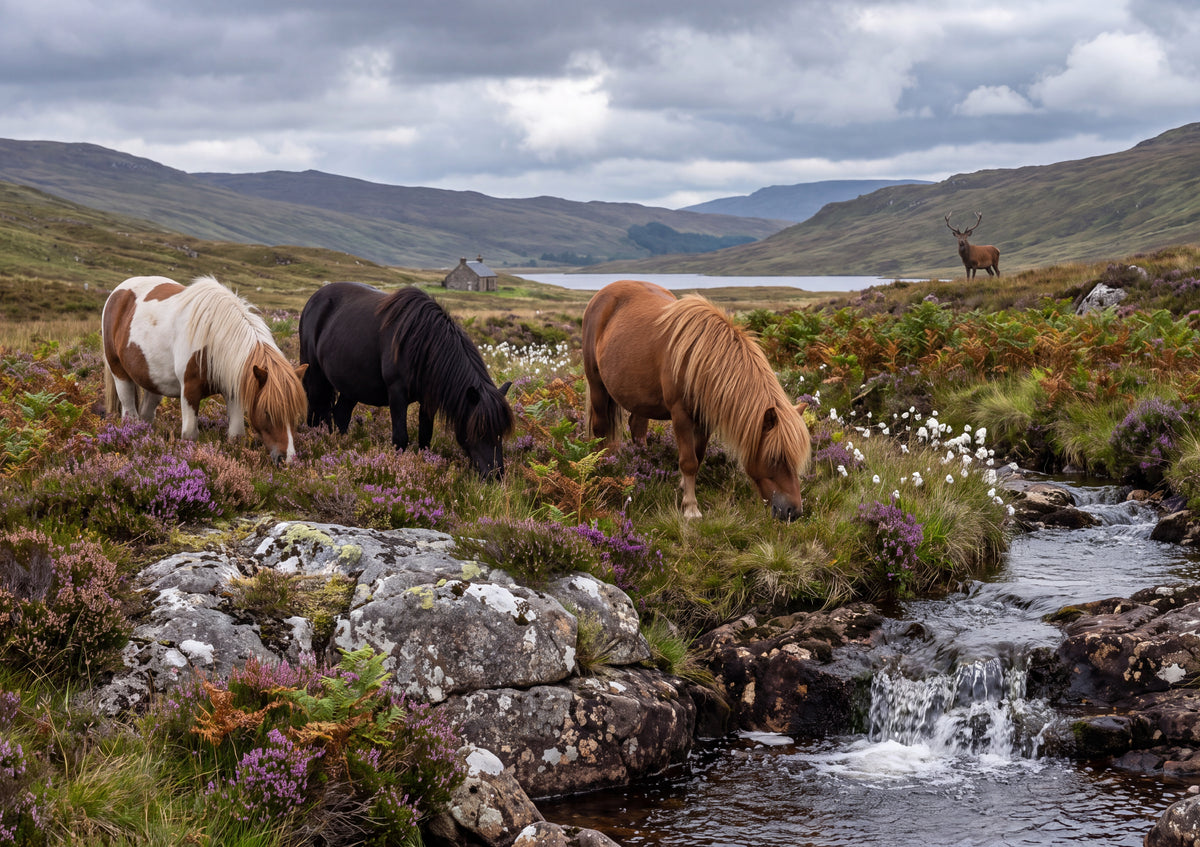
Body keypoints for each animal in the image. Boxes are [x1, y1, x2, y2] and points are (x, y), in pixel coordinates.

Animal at [101, 275, 308, 462]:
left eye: (295, 414)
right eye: (267, 412)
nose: (287, 459)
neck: (214, 338)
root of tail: (118, 292)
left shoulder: (233, 390)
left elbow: (236, 435)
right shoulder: (189, 390)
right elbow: (190, 435)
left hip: (154, 381)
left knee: (146, 415)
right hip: (120, 374)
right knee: (130, 415)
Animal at [298, 282, 514, 479]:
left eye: (501, 432)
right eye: (479, 431)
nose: (496, 475)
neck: (423, 343)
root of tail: (313, 300)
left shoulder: (428, 400)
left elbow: (425, 436)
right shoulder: (397, 394)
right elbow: (400, 438)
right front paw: (396, 469)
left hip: (351, 385)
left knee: (340, 415)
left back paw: (343, 447)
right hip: (315, 375)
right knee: (316, 414)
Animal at [583, 279, 811, 520]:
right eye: (774, 458)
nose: (794, 512)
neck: (702, 359)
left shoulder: (705, 418)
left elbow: (698, 457)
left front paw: (684, 488)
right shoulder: (680, 415)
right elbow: (689, 461)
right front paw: (691, 508)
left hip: (639, 397)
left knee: (637, 429)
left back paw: (642, 464)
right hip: (597, 386)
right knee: (600, 429)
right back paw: (603, 466)